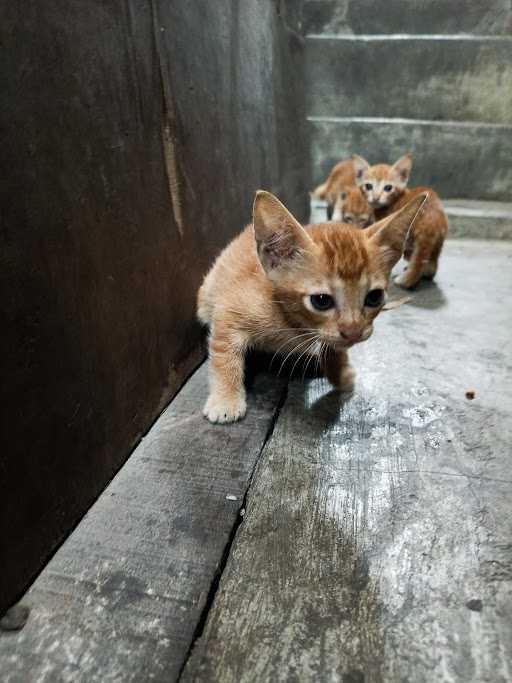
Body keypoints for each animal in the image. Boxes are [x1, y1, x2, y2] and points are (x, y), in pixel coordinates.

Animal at [197, 187, 428, 422]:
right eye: (321, 301)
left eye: (374, 297)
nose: (354, 332)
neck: (295, 324)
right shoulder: (228, 309)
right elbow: (223, 354)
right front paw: (226, 400)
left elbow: (334, 347)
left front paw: (339, 372)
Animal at [352, 152, 448, 288]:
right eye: (368, 186)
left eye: (388, 188)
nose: (376, 197)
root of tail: (431, 220)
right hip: (438, 240)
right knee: (431, 265)